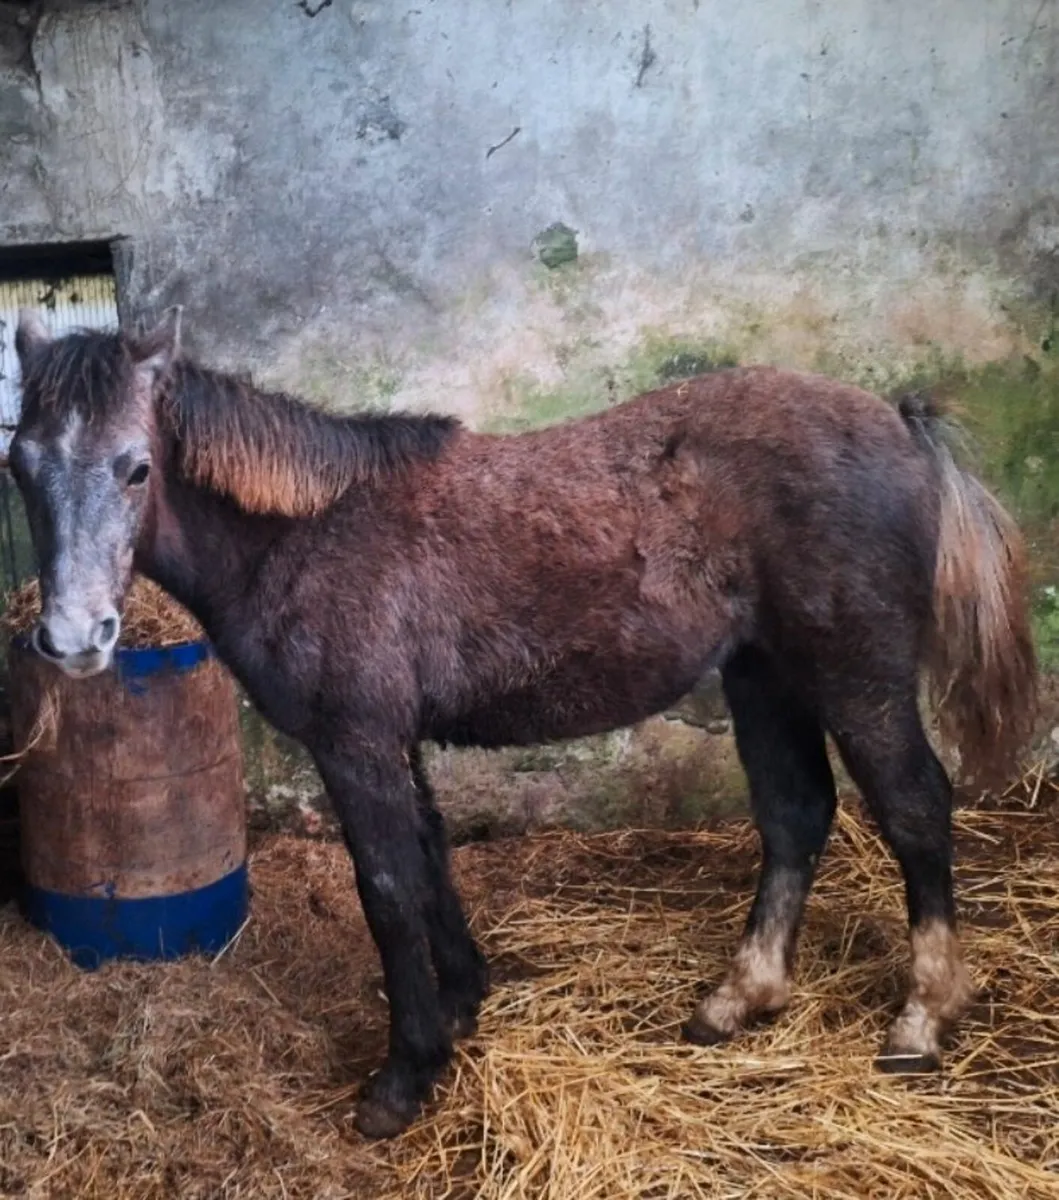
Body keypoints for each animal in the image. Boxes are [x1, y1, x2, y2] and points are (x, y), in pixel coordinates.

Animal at [10, 307, 1036, 1138]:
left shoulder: (355, 743)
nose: (74, 638)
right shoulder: (396, 739)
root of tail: (897, 423)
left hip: (855, 677)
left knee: (913, 809)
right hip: (762, 676)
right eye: (20, 465)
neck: (308, 537)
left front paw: (403, 1077)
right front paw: (464, 1006)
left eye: (136, 467)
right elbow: (429, 859)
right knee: (795, 815)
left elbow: (387, 888)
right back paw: (736, 1000)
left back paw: (921, 1018)